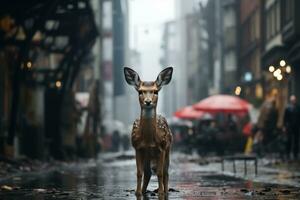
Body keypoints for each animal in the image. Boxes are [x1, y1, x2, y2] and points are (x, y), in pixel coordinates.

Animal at [123, 66, 172, 196]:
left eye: (156, 91)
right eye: (140, 91)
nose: (148, 101)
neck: (149, 140)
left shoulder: (162, 147)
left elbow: (160, 173)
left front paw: (161, 192)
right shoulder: (137, 147)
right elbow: (139, 173)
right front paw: (137, 192)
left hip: (168, 148)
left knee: (166, 172)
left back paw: (166, 190)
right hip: (147, 155)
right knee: (148, 173)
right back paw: (144, 191)